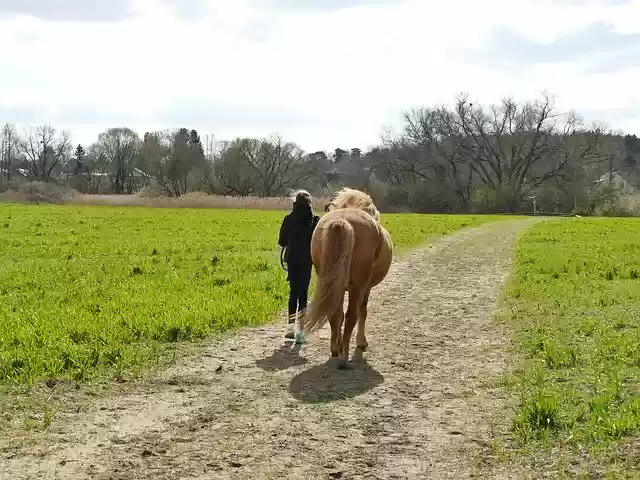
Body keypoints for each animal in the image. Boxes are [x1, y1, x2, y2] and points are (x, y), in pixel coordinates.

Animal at [295, 187, 393, 368]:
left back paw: (336, 350)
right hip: (358, 287)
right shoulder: (366, 288)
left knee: (335, 315)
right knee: (351, 316)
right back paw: (344, 357)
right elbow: (363, 312)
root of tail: (342, 221)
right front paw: (361, 343)